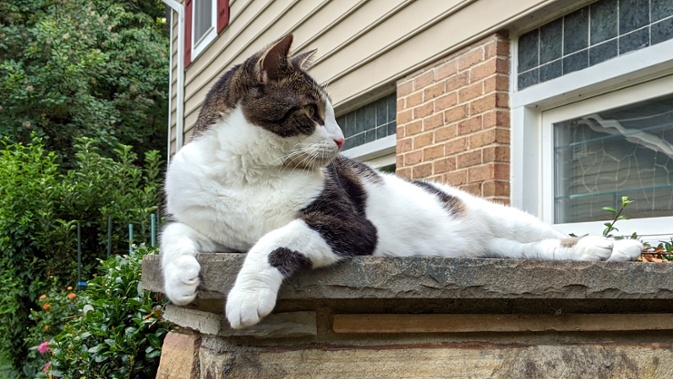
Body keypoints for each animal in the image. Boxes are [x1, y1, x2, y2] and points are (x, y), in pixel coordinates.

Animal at [160, 36, 644, 332]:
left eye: (330, 112)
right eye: (313, 111)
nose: (342, 139)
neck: (248, 171)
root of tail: (479, 239)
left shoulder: (350, 225)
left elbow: (275, 240)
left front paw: (246, 296)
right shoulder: (209, 224)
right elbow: (173, 233)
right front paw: (181, 278)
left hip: (504, 216)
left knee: (552, 235)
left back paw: (616, 248)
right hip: (498, 246)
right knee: (535, 251)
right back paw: (600, 252)